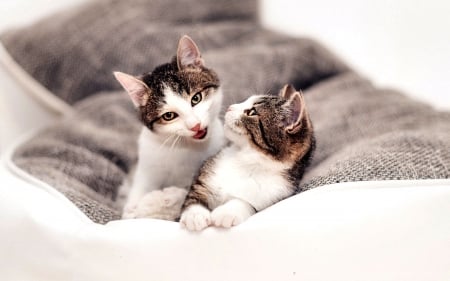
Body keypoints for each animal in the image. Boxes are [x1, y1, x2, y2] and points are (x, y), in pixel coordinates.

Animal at [113, 35, 224, 219]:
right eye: (169, 116)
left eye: (196, 98)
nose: (195, 126)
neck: (184, 146)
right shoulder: (145, 164)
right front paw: (133, 209)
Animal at [180, 84, 316, 231]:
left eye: (251, 112)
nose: (230, 107)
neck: (246, 161)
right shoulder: (208, 172)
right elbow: (196, 192)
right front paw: (194, 215)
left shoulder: (273, 195)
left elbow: (246, 203)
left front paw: (227, 213)